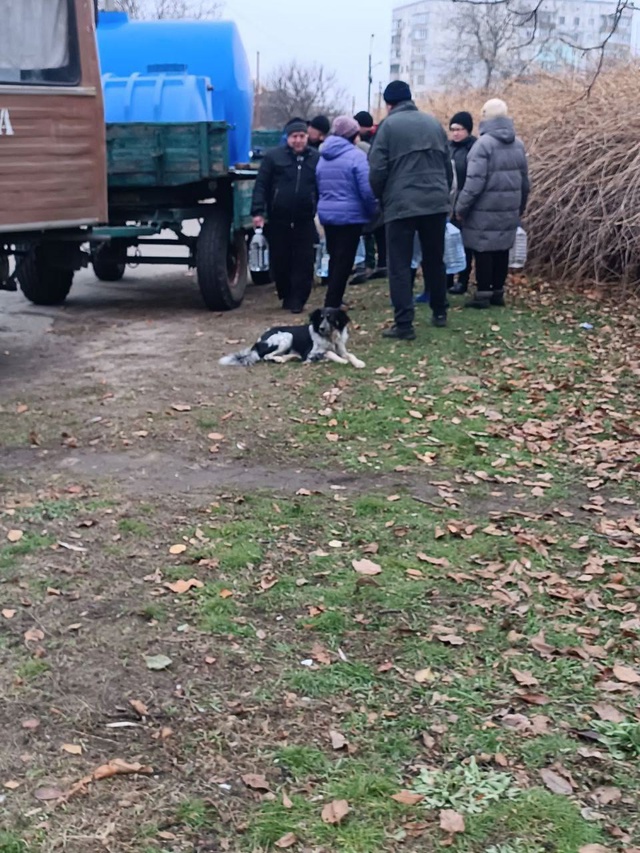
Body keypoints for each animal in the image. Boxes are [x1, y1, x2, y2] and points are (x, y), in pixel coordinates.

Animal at [219, 310, 364, 370]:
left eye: (331, 318)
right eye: (320, 317)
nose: (321, 328)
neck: (330, 337)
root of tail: (258, 341)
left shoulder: (341, 348)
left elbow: (350, 354)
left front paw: (358, 363)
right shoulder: (310, 352)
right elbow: (328, 352)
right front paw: (341, 360)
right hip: (287, 336)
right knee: (266, 356)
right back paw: (279, 359)